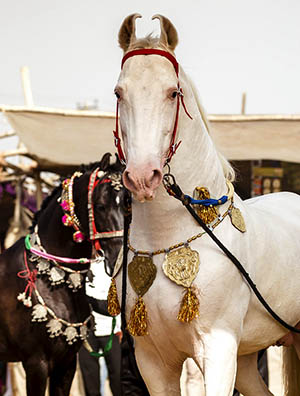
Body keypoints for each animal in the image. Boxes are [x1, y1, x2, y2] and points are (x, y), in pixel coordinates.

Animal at [113, 13, 300, 396]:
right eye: (119, 92)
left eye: (173, 92)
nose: (142, 176)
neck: (167, 239)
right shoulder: (153, 361)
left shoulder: (219, 349)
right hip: (248, 358)